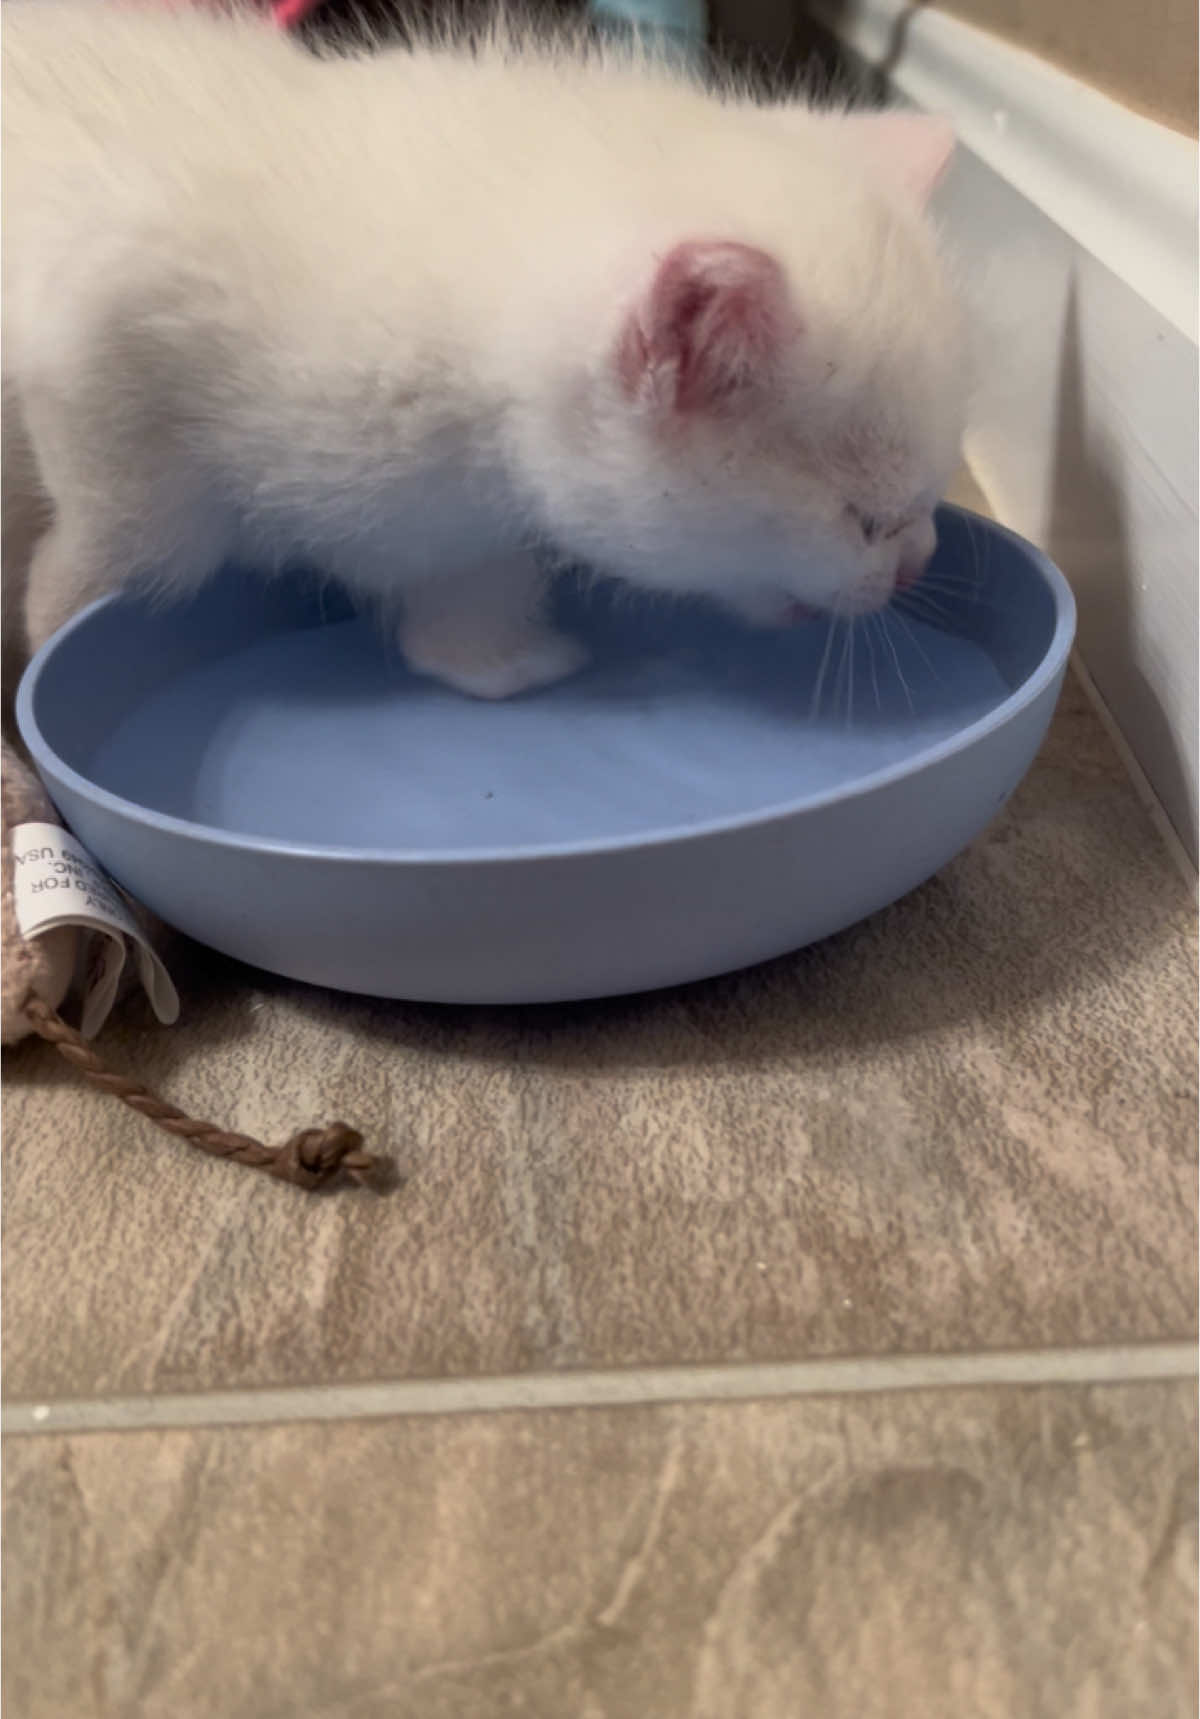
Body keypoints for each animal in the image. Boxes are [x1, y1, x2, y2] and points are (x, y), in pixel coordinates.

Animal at [2, 3, 962, 697]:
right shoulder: (94, 330)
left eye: (927, 502)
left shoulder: (472, 511)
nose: (919, 562)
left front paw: (493, 659)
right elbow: (136, 536)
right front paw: (51, 624)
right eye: (865, 518)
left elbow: (469, 588)